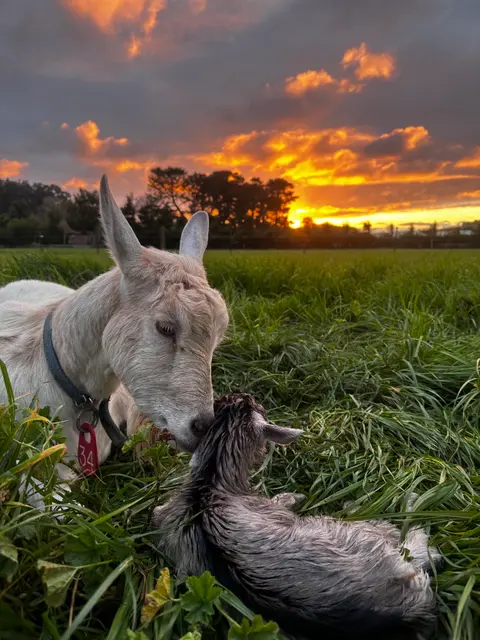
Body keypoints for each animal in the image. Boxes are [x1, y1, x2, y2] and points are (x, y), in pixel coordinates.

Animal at [152, 393, 441, 640]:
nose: (249, 396)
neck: (209, 480)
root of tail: (401, 615)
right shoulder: (268, 508)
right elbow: (281, 502)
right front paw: (295, 497)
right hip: (357, 536)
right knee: (415, 547)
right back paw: (406, 506)